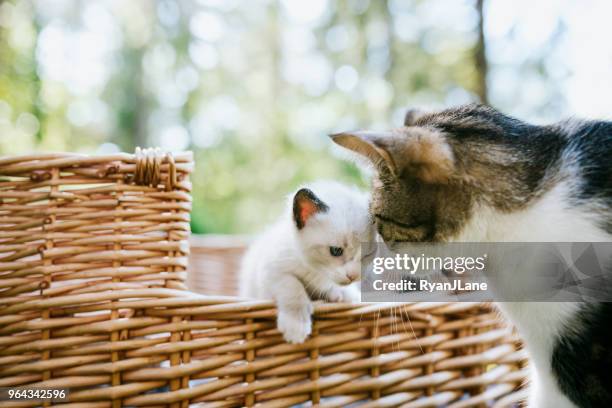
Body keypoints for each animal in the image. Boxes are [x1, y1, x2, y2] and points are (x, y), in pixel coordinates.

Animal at [239, 180, 372, 342]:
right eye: (336, 250)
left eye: (368, 253)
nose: (353, 276)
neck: (314, 269)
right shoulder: (271, 271)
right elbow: (293, 286)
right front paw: (296, 325)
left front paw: (345, 294)